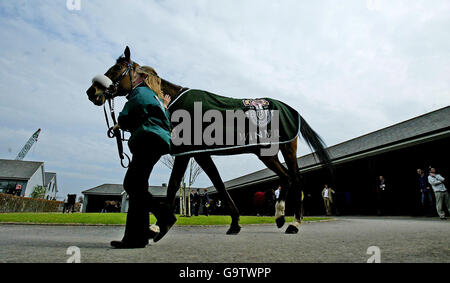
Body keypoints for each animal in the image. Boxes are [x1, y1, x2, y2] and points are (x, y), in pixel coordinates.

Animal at [86, 47, 330, 243]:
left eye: (117, 68)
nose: (92, 91)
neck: (171, 102)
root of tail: (290, 108)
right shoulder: (199, 153)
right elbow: (218, 184)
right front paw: (234, 224)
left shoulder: (185, 153)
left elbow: (174, 185)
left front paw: (157, 227)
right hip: (266, 153)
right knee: (287, 178)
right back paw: (280, 218)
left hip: (287, 149)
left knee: (297, 181)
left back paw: (294, 223)